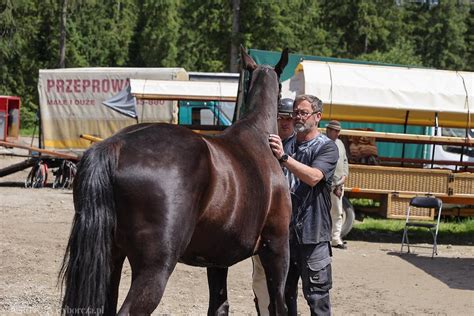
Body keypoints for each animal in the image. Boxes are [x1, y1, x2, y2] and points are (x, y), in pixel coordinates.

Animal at [61, 48, 290, 314]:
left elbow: (219, 305)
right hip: (156, 266)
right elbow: (280, 304)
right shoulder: (276, 247)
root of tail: (115, 145)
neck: (260, 136)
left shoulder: (217, 259)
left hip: (110, 258)